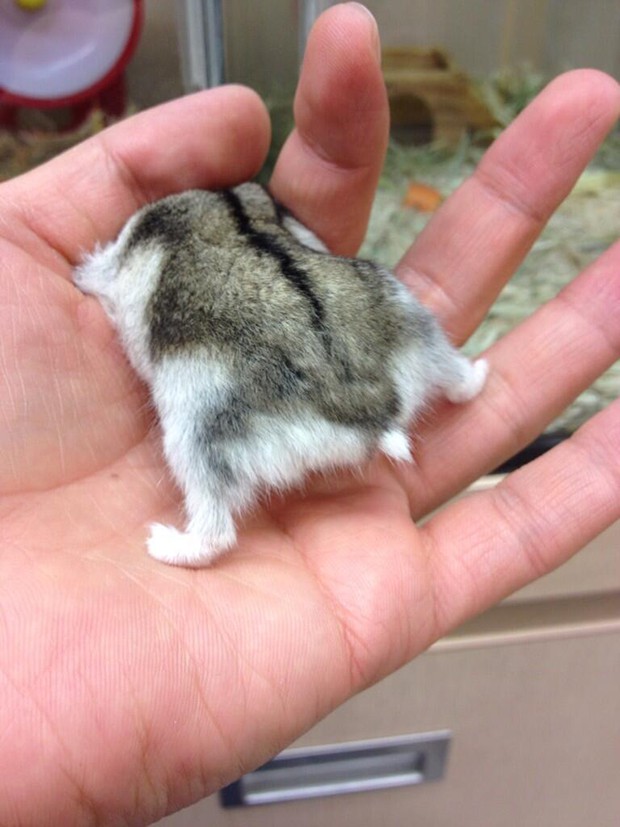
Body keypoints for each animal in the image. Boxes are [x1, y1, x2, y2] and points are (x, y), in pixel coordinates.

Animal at [74, 183, 487, 567]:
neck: (229, 209)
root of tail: (372, 412)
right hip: (418, 323)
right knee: (460, 381)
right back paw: (481, 373)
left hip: (194, 437)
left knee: (216, 532)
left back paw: (161, 543)